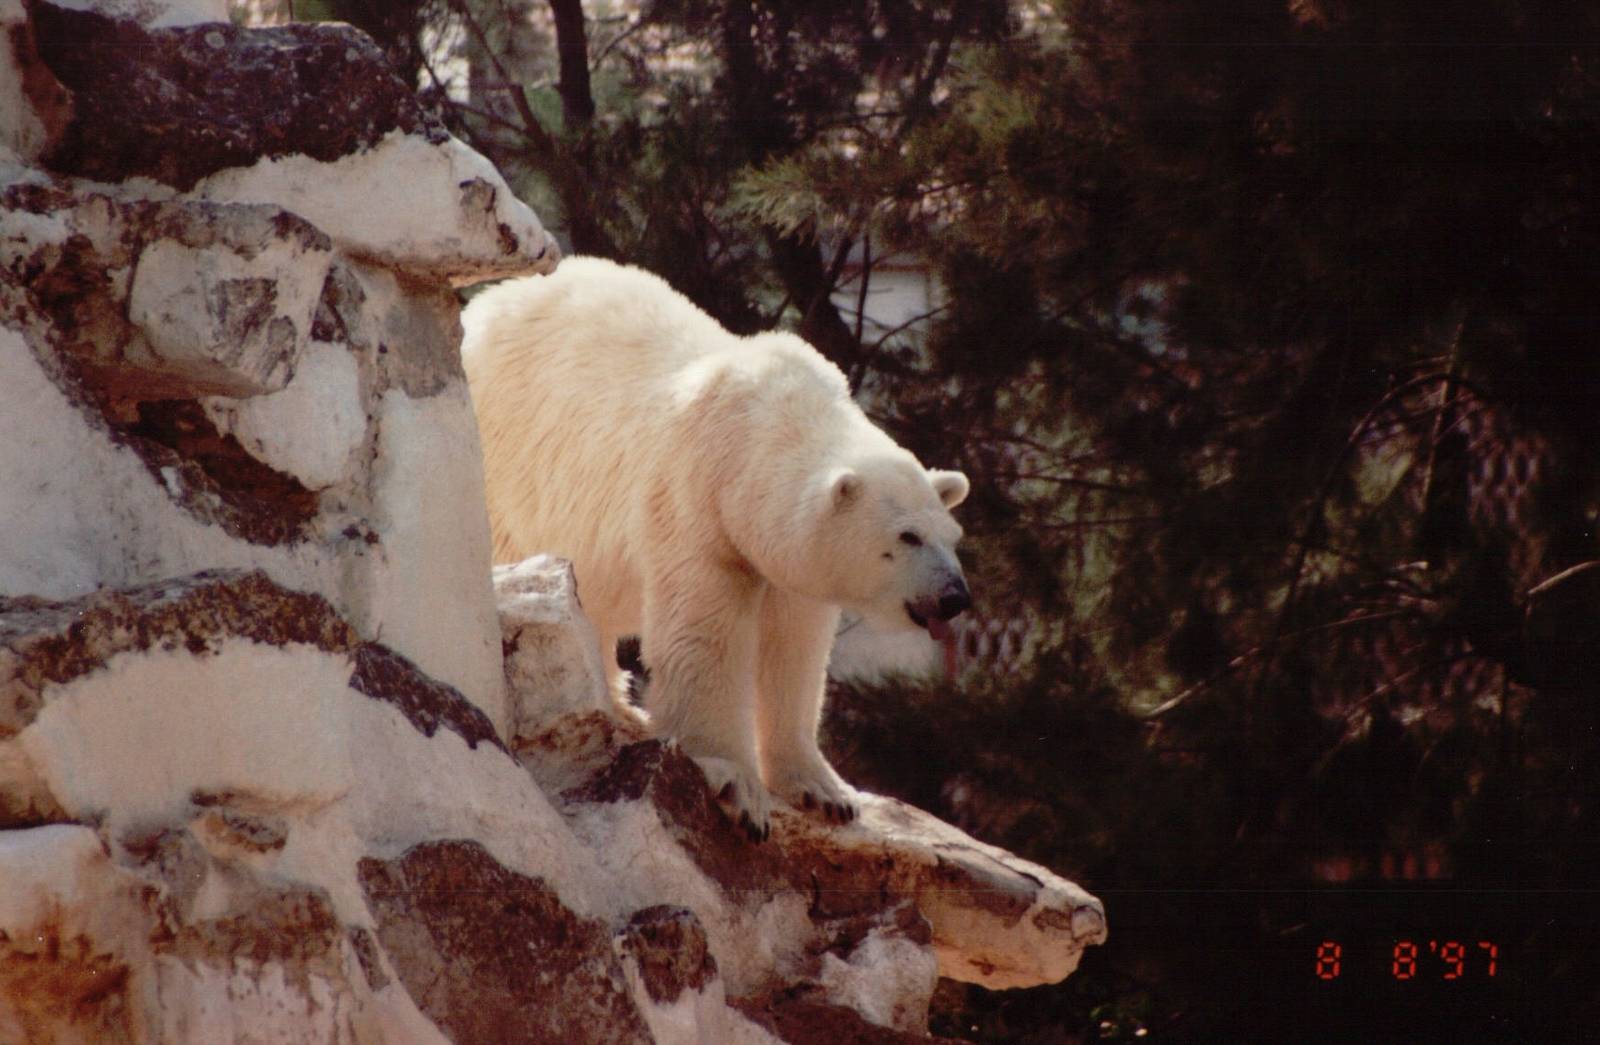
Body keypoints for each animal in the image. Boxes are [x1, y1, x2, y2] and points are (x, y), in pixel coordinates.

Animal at [462, 257, 971, 839]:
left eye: (951, 538)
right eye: (907, 536)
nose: (955, 597)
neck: (758, 432)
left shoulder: (790, 563)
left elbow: (794, 649)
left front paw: (827, 793)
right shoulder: (696, 501)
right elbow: (706, 634)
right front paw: (738, 787)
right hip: (509, 461)